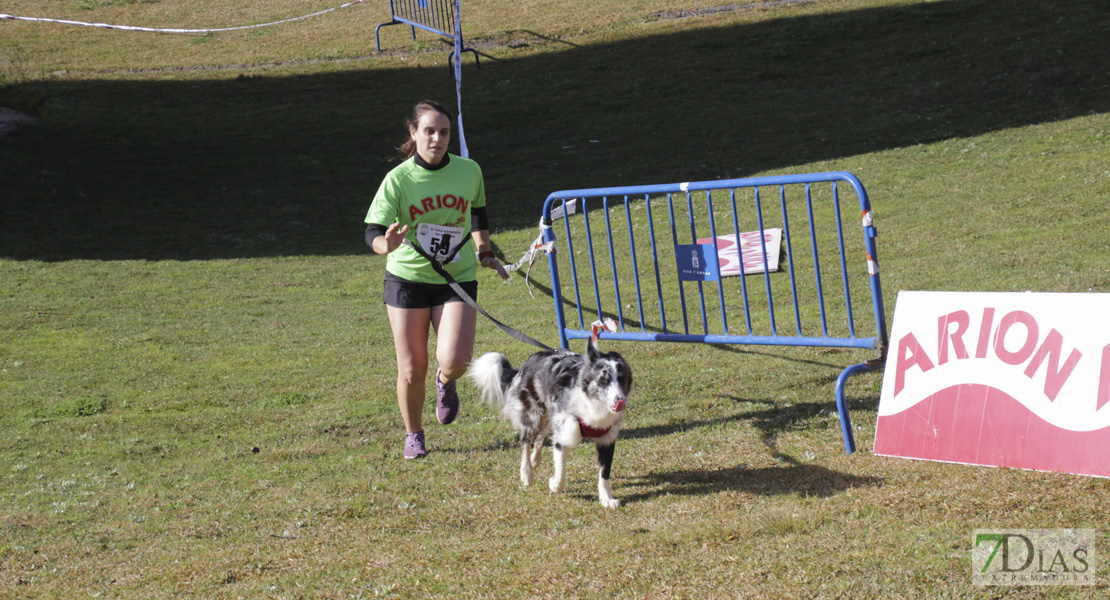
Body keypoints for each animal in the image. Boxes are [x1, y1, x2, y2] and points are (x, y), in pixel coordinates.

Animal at [468, 334, 634, 507]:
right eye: (603, 380)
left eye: (622, 379)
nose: (619, 401)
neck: (593, 404)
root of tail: (532, 359)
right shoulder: (564, 434)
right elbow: (560, 472)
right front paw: (554, 485)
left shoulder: (606, 440)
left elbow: (604, 473)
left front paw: (607, 499)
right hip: (533, 415)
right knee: (525, 441)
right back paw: (527, 472)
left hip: (549, 418)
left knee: (539, 440)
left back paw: (534, 461)